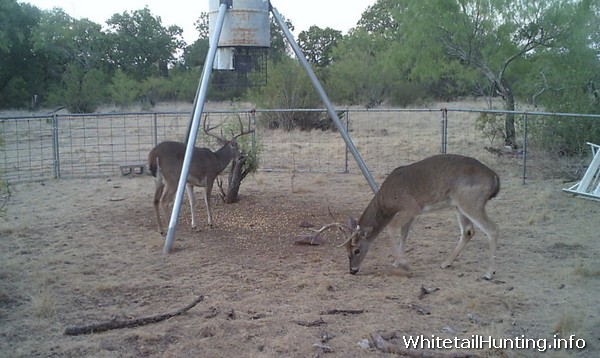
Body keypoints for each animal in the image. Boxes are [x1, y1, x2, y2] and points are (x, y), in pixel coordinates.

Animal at [312, 154, 500, 280]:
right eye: (345, 250)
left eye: (356, 250)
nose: (353, 270)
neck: (388, 201)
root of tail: (495, 178)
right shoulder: (411, 214)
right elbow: (404, 234)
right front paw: (398, 261)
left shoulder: (411, 207)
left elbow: (392, 228)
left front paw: (404, 263)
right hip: (458, 206)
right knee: (468, 231)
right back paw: (446, 263)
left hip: (470, 201)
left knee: (492, 229)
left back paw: (489, 273)